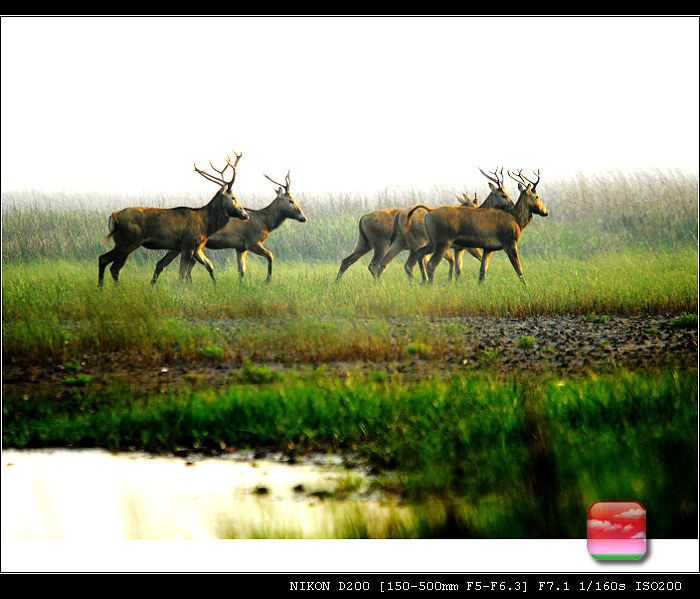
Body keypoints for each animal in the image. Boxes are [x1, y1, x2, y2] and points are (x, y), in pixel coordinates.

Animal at [98, 154, 249, 288]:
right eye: (233, 197)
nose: (245, 214)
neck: (206, 225)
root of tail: (113, 216)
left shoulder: (193, 247)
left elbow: (209, 266)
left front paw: (216, 288)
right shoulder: (188, 244)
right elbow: (182, 274)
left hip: (124, 242)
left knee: (107, 262)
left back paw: (102, 288)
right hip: (129, 241)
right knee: (111, 265)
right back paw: (112, 289)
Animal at [154, 170, 308, 284]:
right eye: (291, 200)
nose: (303, 217)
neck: (265, 223)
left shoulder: (240, 247)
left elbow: (242, 270)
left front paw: (241, 286)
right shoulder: (251, 242)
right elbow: (270, 255)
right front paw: (267, 281)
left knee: (171, 266)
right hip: (187, 245)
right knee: (174, 267)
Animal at [374, 168, 516, 282]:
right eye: (503, 195)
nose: (512, 204)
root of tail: (400, 215)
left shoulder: (459, 248)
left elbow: (459, 267)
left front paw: (453, 282)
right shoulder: (468, 247)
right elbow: (476, 260)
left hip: (400, 241)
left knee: (383, 263)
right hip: (418, 242)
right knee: (409, 265)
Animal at [408, 169, 548, 286]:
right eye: (537, 196)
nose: (545, 212)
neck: (517, 221)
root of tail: (428, 214)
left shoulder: (488, 248)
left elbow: (482, 272)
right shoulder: (509, 242)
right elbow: (519, 268)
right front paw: (526, 287)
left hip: (433, 241)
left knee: (420, 253)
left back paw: (424, 282)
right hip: (443, 241)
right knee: (431, 264)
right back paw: (430, 286)